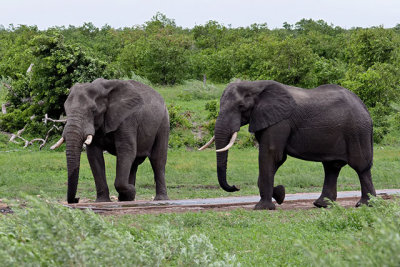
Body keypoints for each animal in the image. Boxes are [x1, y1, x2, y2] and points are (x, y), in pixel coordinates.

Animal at [200, 80, 376, 210]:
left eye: (241, 107)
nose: (236, 186)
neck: (255, 85)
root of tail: (363, 105)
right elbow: (276, 158)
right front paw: (280, 194)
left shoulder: (280, 121)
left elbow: (272, 154)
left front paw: (263, 207)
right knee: (332, 167)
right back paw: (322, 205)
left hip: (357, 131)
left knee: (361, 166)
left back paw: (365, 205)